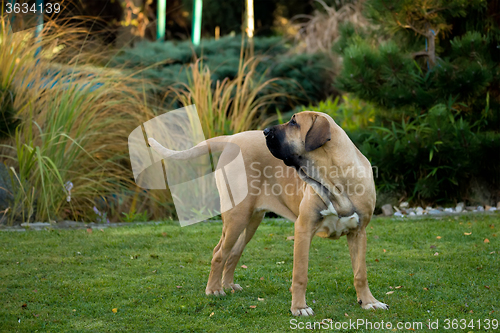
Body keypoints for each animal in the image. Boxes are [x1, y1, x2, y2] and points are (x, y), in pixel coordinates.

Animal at [146, 111, 388, 314]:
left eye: (294, 123)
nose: (265, 131)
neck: (336, 178)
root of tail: (233, 138)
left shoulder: (359, 232)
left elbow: (361, 273)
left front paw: (368, 302)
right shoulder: (303, 229)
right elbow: (300, 274)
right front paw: (299, 308)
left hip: (251, 220)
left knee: (233, 253)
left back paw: (228, 285)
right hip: (236, 217)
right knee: (219, 253)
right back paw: (214, 289)